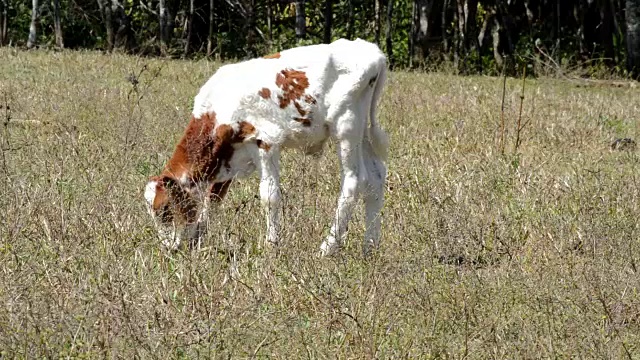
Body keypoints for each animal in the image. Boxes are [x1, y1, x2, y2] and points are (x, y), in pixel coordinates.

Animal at [144, 38, 390, 256]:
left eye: (164, 210)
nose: (169, 247)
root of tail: (373, 52)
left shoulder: (265, 142)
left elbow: (269, 196)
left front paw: (272, 245)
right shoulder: (230, 154)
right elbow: (214, 198)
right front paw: (197, 239)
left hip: (347, 127)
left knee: (354, 180)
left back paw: (327, 247)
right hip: (363, 132)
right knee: (376, 177)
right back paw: (370, 247)